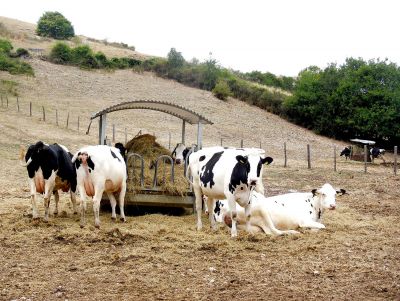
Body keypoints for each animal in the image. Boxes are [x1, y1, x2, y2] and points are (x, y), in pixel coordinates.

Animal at [214, 183, 346, 234]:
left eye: (335, 194)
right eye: (323, 194)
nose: (333, 205)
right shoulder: (304, 221)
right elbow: (322, 226)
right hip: (262, 211)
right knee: (273, 231)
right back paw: (293, 232)